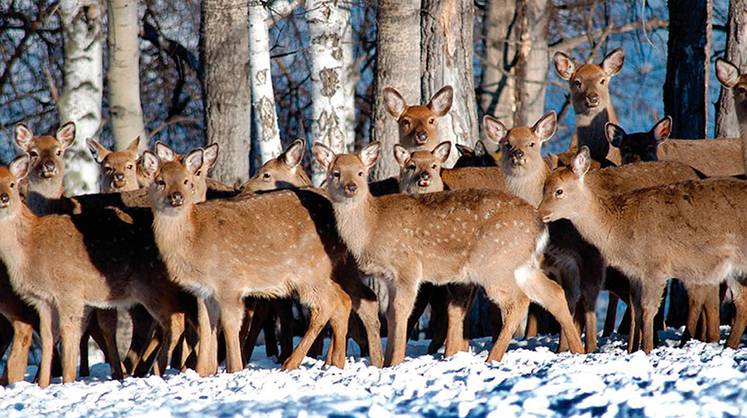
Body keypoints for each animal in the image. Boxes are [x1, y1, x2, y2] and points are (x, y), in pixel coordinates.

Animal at [145, 150, 386, 376]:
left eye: (186, 180)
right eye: (160, 181)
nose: (176, 197)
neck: (194, 240)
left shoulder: (229, 283)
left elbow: (230, 326)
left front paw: (234, 369)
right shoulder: (203, 292)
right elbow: (207, 327)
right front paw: (204, 372)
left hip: (310, 269)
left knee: (331, 303)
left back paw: (292, 363)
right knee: (344, 301)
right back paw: (334, 363)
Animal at [312, 140, 584, 366]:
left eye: (360, 172)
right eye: (335, 173)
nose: (350, 187)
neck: (371, 226)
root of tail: (540, 223)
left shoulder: (408, 267)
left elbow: (401, 311)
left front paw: (394, 362)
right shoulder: (388, 278)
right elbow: (389, 313)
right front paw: (386, 360)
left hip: (494, 263)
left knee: (518, 301)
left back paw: (492, 357)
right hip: (522, 265)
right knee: (553, 293)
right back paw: (578, 350)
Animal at [536, 148, 744, 352]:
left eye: (559, 191)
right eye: (543, 188)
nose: (539, 213)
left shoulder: (656, 267)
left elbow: (648, 310)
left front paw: (647, 349)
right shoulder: (635, 274)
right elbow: (636, 308)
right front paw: (634, 349)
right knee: (739, 302)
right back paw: (727, 345)